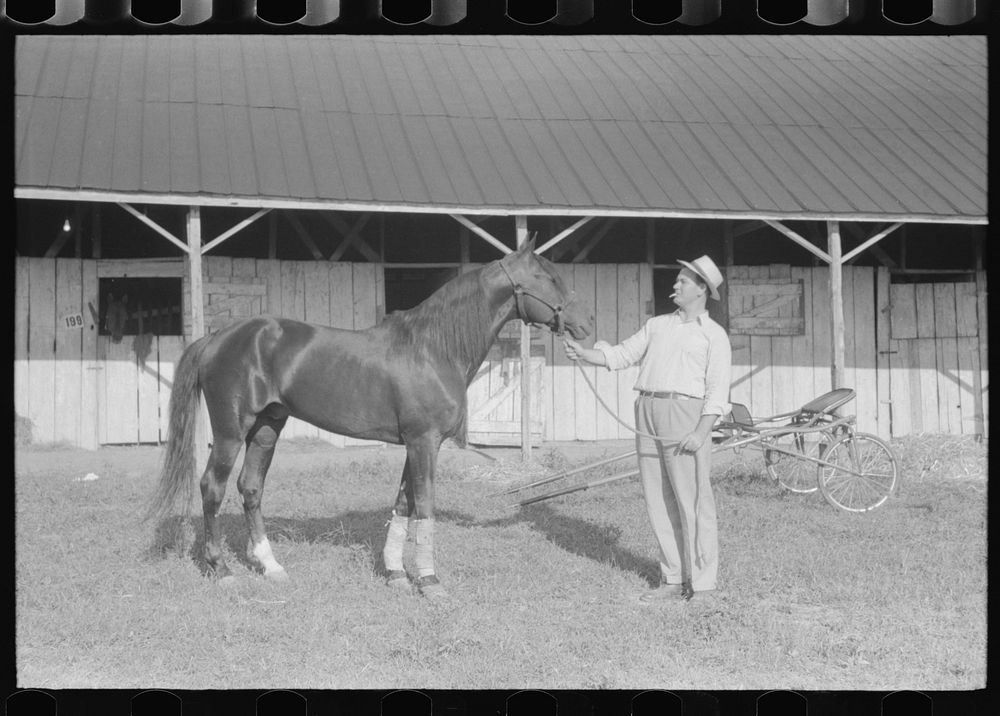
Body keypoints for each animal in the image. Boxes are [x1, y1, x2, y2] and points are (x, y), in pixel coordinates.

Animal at [145, 237, 593, 597]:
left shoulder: (416, 444)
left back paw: (270, 566)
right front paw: (429, 581)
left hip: (267, 427)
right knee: (212, 488)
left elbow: (403, 503)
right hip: (230, 431)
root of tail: (216, 338)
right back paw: (221, 569)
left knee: (251, 487)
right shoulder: (424, 442)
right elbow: (424, 504)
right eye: (546, 277)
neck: (432, 349)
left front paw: (396, 574)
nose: (585, 324)